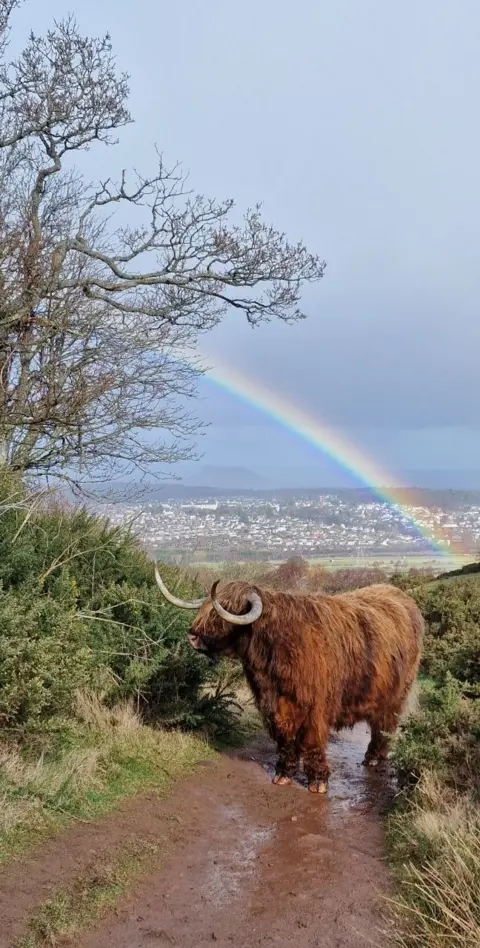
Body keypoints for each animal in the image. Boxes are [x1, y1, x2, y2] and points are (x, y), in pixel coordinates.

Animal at [155, 568, 423, 793]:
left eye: (225, 609)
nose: (192, 636)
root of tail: (401, 595)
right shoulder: (275, 705)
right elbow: (284, 738)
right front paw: (284, 774)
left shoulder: (316, 707)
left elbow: (313, 742)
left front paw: (318, 781)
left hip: (396, 694)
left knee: (384, 725)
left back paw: (374, 757)